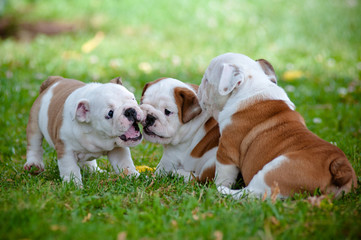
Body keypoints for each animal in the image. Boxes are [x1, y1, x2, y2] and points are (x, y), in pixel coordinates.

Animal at [197, 52, 358, 199]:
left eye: (206, 80)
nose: (198, 89)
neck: (253, 88)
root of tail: (339, 166)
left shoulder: (227, 150)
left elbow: (223, 174)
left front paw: (218, 185)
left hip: (274, 170)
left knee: (251, 193)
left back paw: (221, 191)